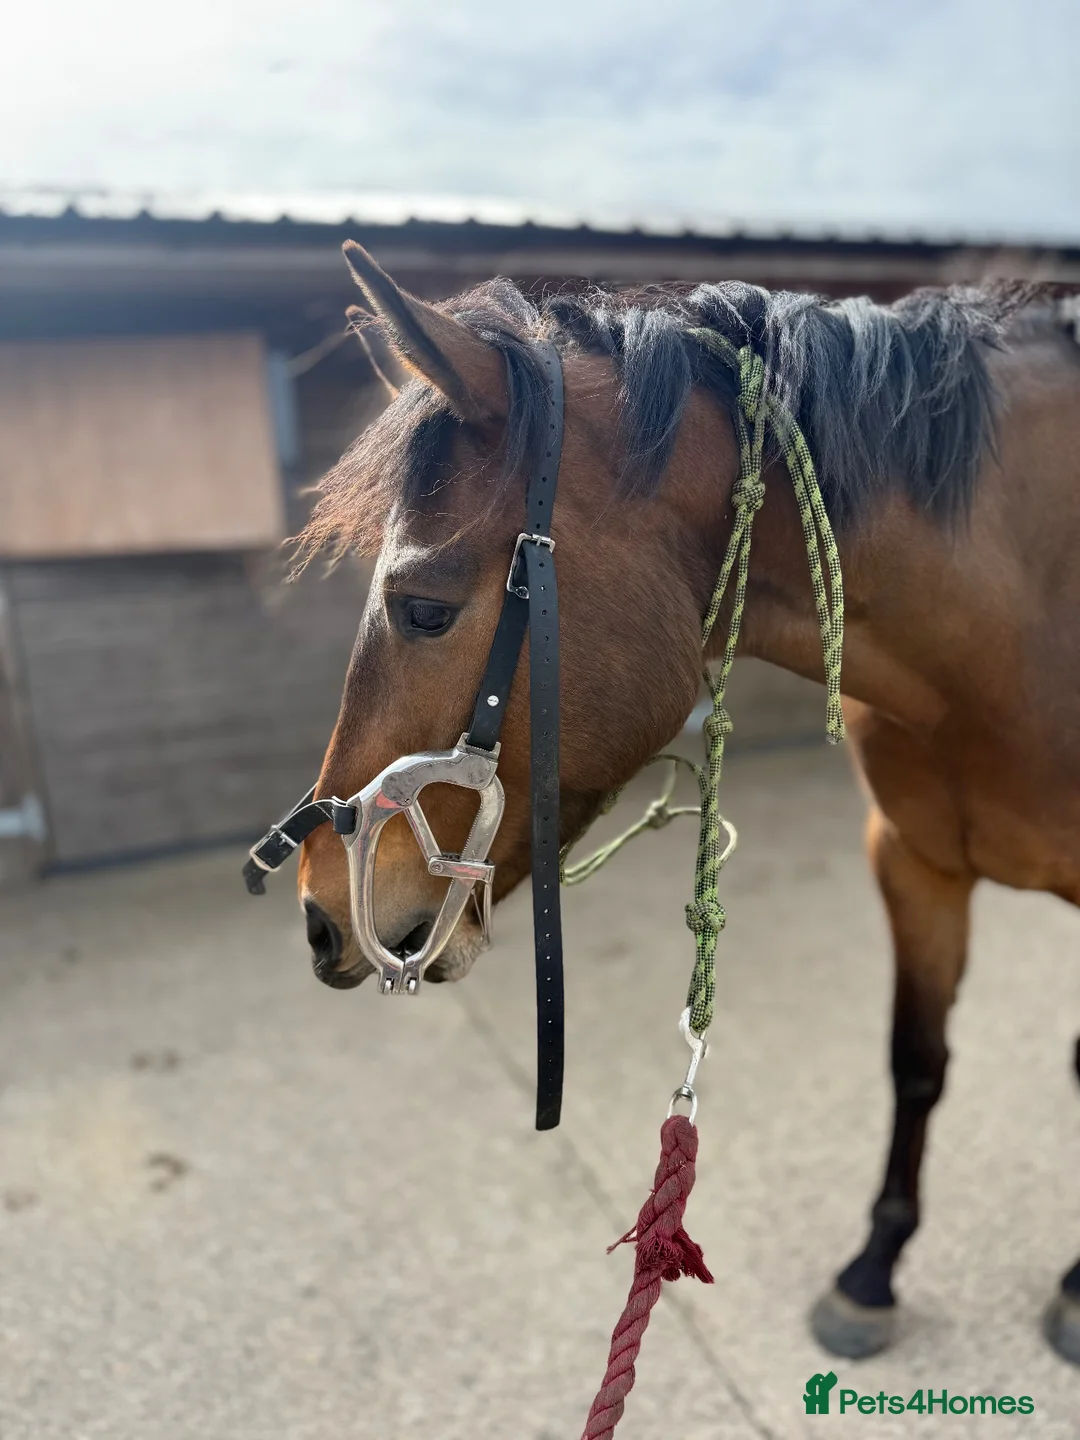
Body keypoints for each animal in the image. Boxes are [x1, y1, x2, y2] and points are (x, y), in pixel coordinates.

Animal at [292, 240, 1080, 1365]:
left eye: (424, 609)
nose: (318, 916)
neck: (1027, 618)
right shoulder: (913, 860)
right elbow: (916, 1061)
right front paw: (873, 1271)